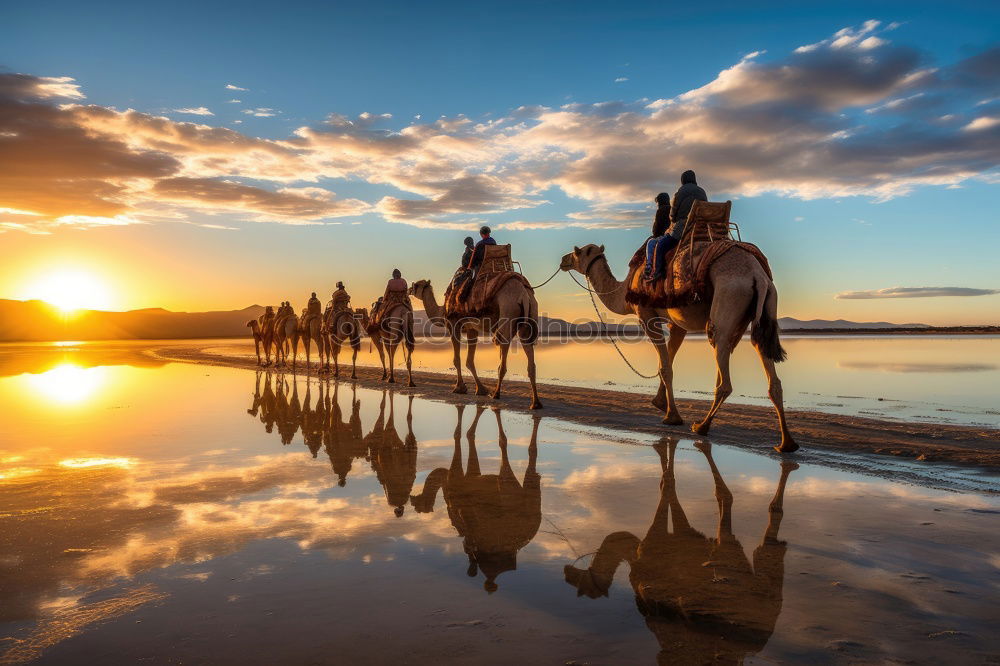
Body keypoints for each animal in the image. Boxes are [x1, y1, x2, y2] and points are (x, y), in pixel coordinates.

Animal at [410, 278, 544, 408]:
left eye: (416, 285)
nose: (409, 289)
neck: (442, 311)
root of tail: (524, 295)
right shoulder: (471, 328)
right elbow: (469, 360)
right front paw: (480, 389)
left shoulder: (453, 324)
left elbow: (457, 359)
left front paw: (460, 388)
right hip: (529, 319)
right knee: (530, 357)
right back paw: (535, 403)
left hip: (507, 310)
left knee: (503, 351)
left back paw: (496, 393)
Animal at [410, 400, 544, 592]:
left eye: (418, 505)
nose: (412, 497)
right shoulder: (470, 478)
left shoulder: (456, 478)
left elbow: (459, 443)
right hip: (531, 501)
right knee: (531, 473)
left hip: (506, 495)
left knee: (505, 467)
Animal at [564, 241, 796, 454]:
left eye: (577, 252)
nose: (563, 260)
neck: (625, 291)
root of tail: (758, 276)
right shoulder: (677, 323)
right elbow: (668, 360)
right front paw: (660, 402)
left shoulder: (645, 314)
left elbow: (665, 366)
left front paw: (672, 416)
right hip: (764, 309)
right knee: (767, 367)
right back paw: (786, 443)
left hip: (728, 300)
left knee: (724, 369)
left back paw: (702, 426)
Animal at [568, 438, 800, 660]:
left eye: (582, 581)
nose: (567, 570)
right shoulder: (680, 537)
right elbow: (670, 493)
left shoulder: (655, 540)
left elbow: (667, 490)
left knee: (728, 540)